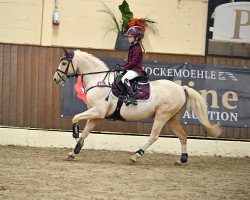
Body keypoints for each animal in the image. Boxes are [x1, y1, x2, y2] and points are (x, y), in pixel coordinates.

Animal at [52, 48, 221, 164]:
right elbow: (86, 133)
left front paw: (75, 134)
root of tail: (181, 88)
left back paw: (135, 155)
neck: (99, 80)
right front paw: (74, 151)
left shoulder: (97, 111)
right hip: (172, 118)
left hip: (162, 115)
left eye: (64, 62)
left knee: (154, 136)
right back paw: (182, 160)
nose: (55, 79)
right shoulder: (96, 115)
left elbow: (75, 118)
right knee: (183, 136)